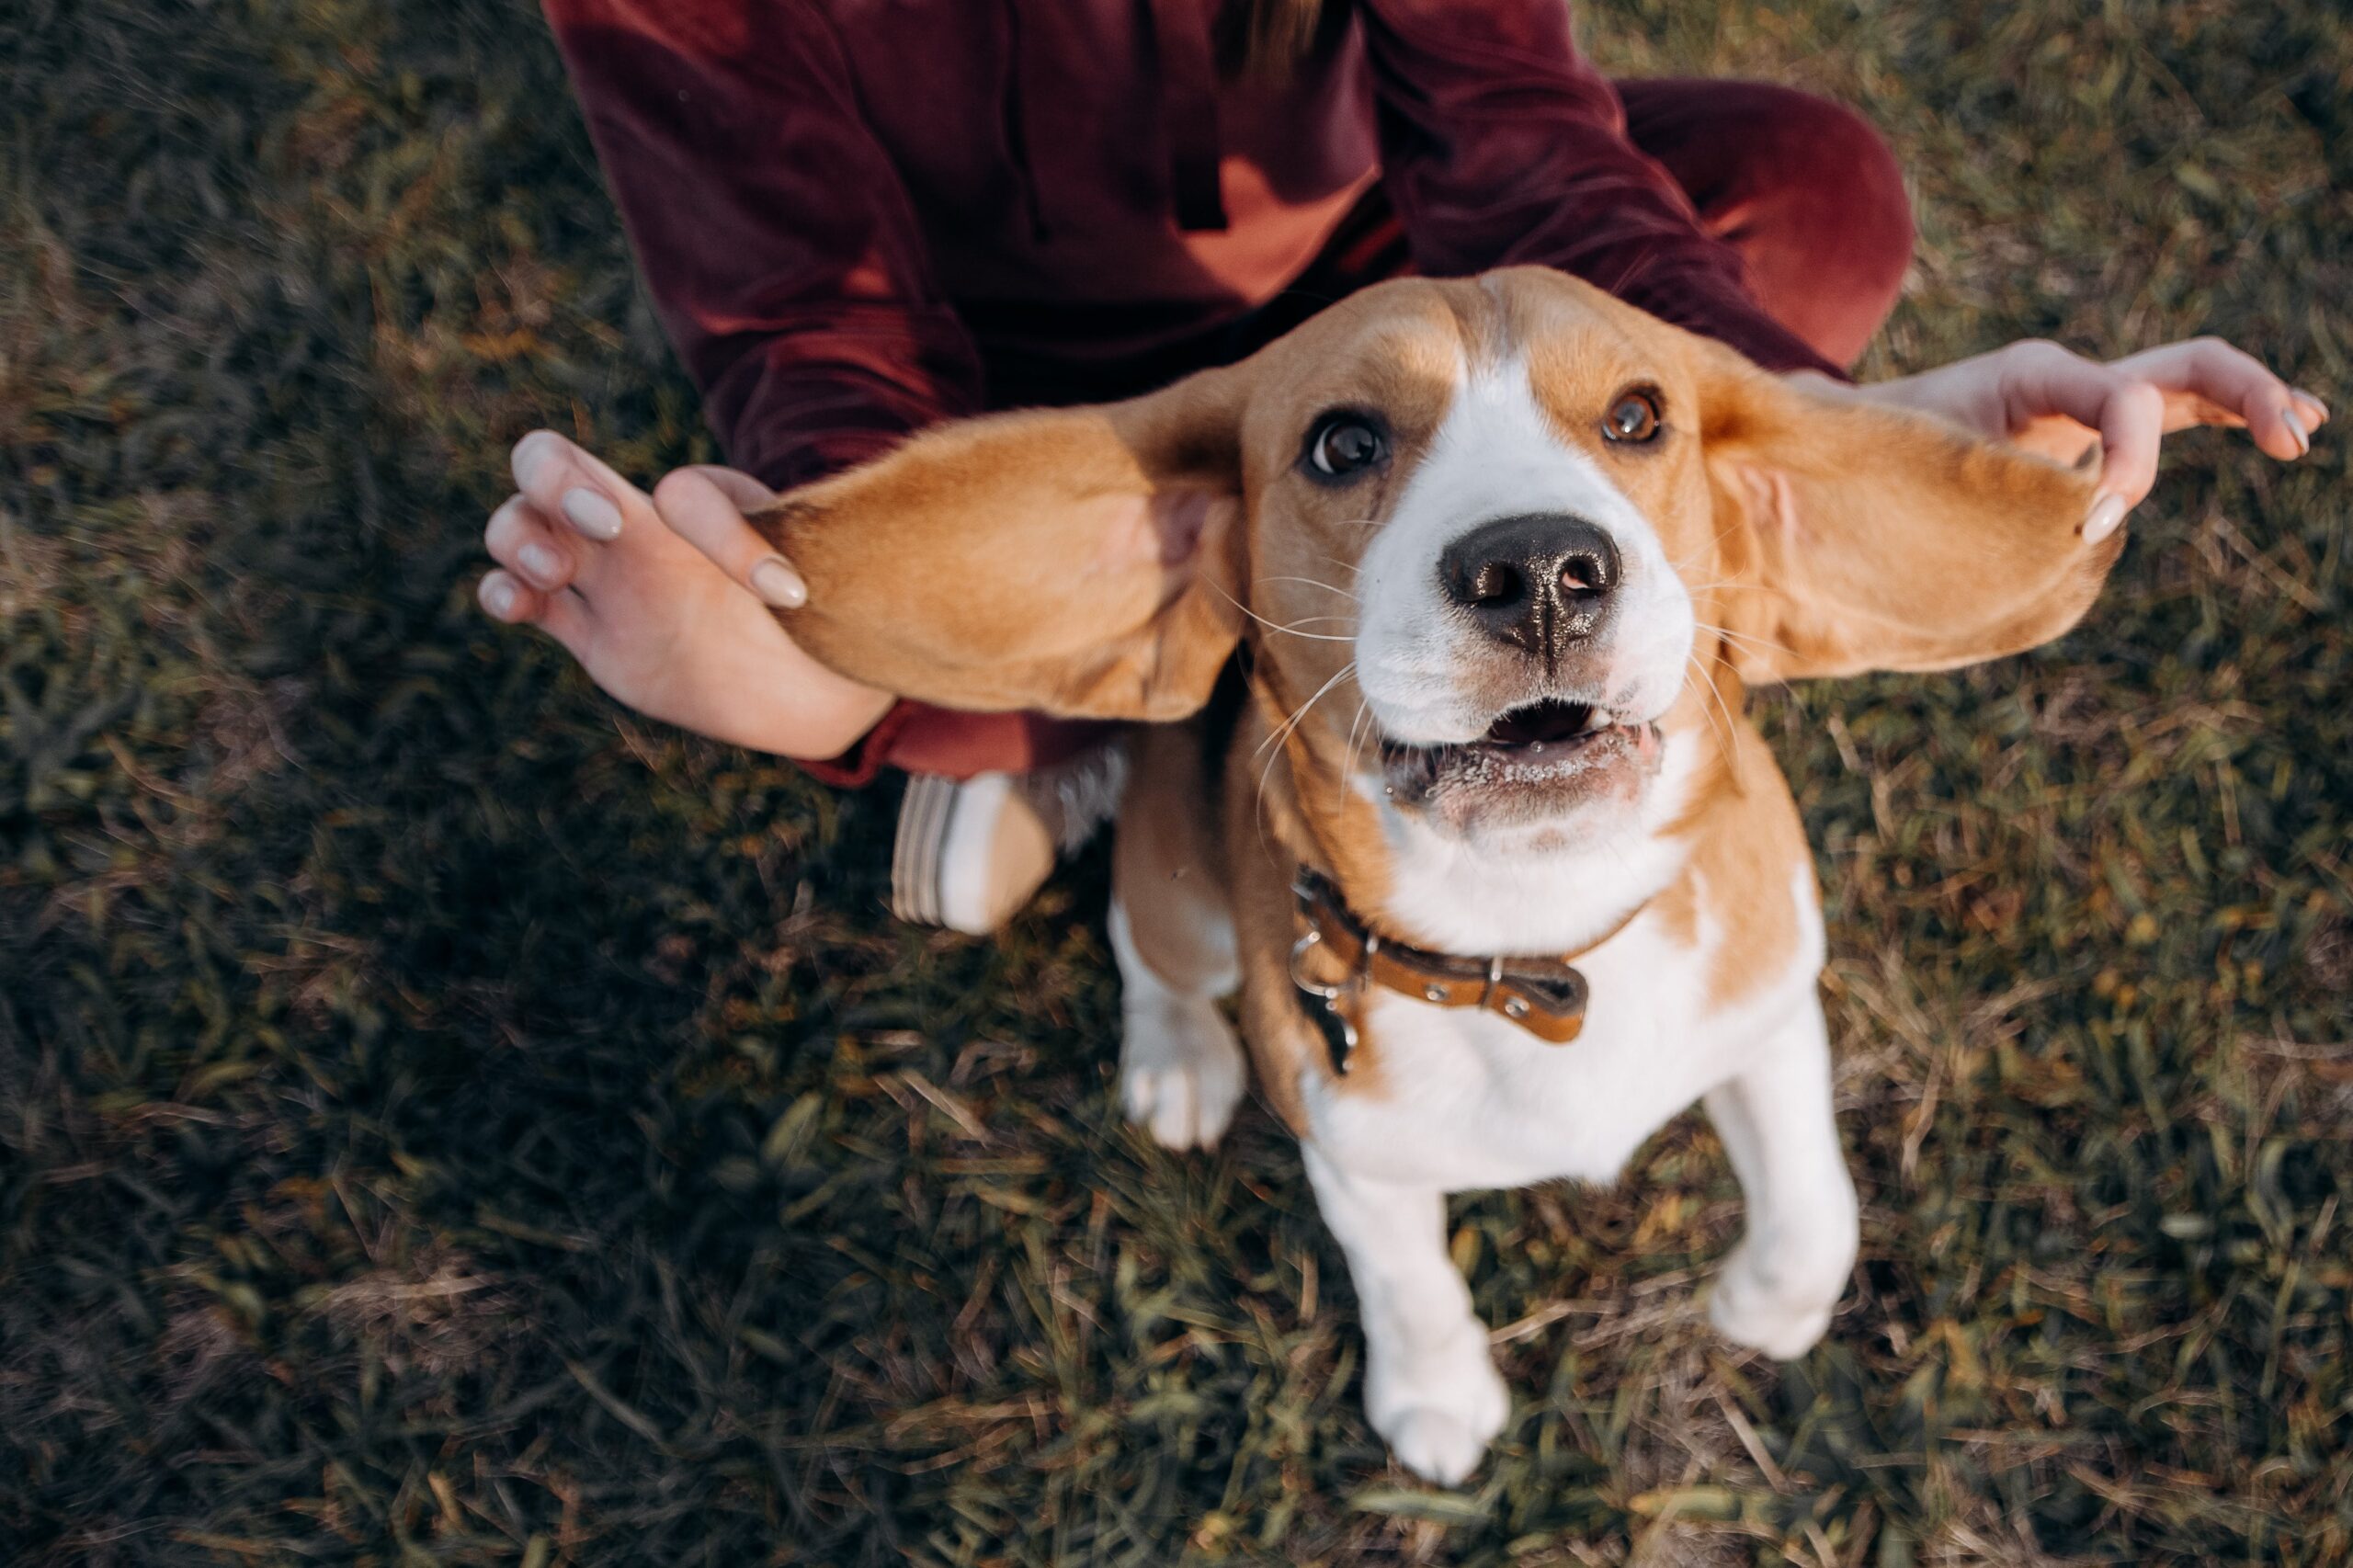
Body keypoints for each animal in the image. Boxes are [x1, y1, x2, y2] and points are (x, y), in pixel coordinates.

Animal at [762, 266, 2127, 1478]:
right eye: (1342, 443)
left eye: (1637, 417)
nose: (1541, 571)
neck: (1536, 930)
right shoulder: (1354, 1153)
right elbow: (1407, 1279)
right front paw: (1435, 1398)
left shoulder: (1771, 997)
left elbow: (1814, 1210)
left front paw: (1766, 1308)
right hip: (1182, 896)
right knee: (1147, 948)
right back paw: (1177, 1060)